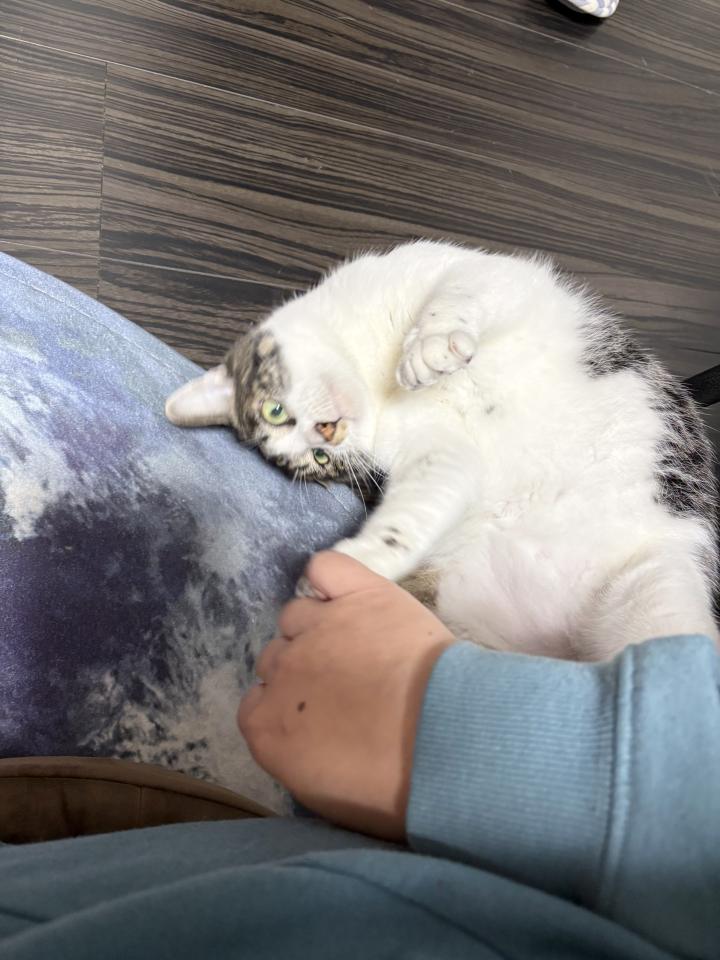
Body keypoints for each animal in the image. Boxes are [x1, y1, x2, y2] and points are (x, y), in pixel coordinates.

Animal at [165, 241, 718, 661]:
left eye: (275, 410)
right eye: (321, 461)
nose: (327, 434)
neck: (374, 377)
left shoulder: (471, 270)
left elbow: (458, 291)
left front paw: (427, 350)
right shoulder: (440, 455)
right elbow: (415, 512)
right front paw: (356, 564)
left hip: (659, 583)